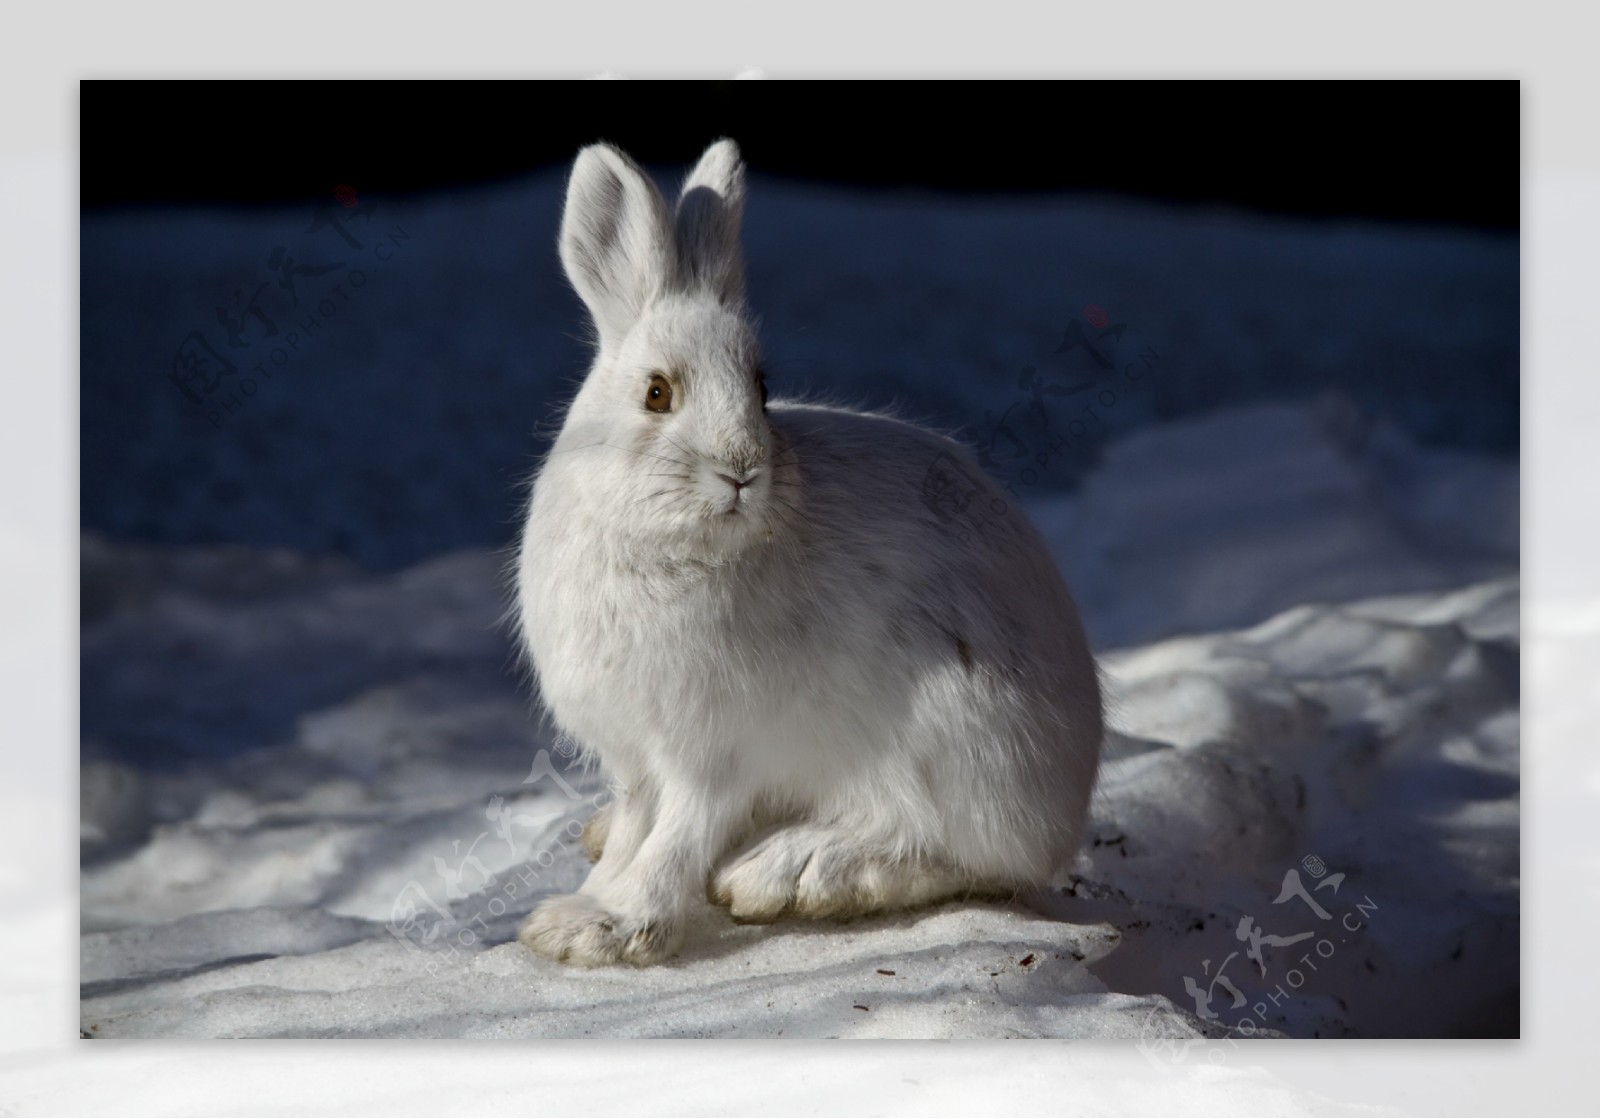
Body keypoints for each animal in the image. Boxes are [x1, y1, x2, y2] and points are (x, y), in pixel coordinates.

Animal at [512, 137, 1100, 960]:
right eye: (657, 393)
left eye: (762, 389)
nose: (742, 468)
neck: (679, 546)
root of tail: (1068, 799)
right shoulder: (635, 759)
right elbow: (635, 827)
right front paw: (579, 908)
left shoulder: (713, 755)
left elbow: (676, 837)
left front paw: (609, 926)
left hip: (954, 735)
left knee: (947, 849)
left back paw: (793, 870)